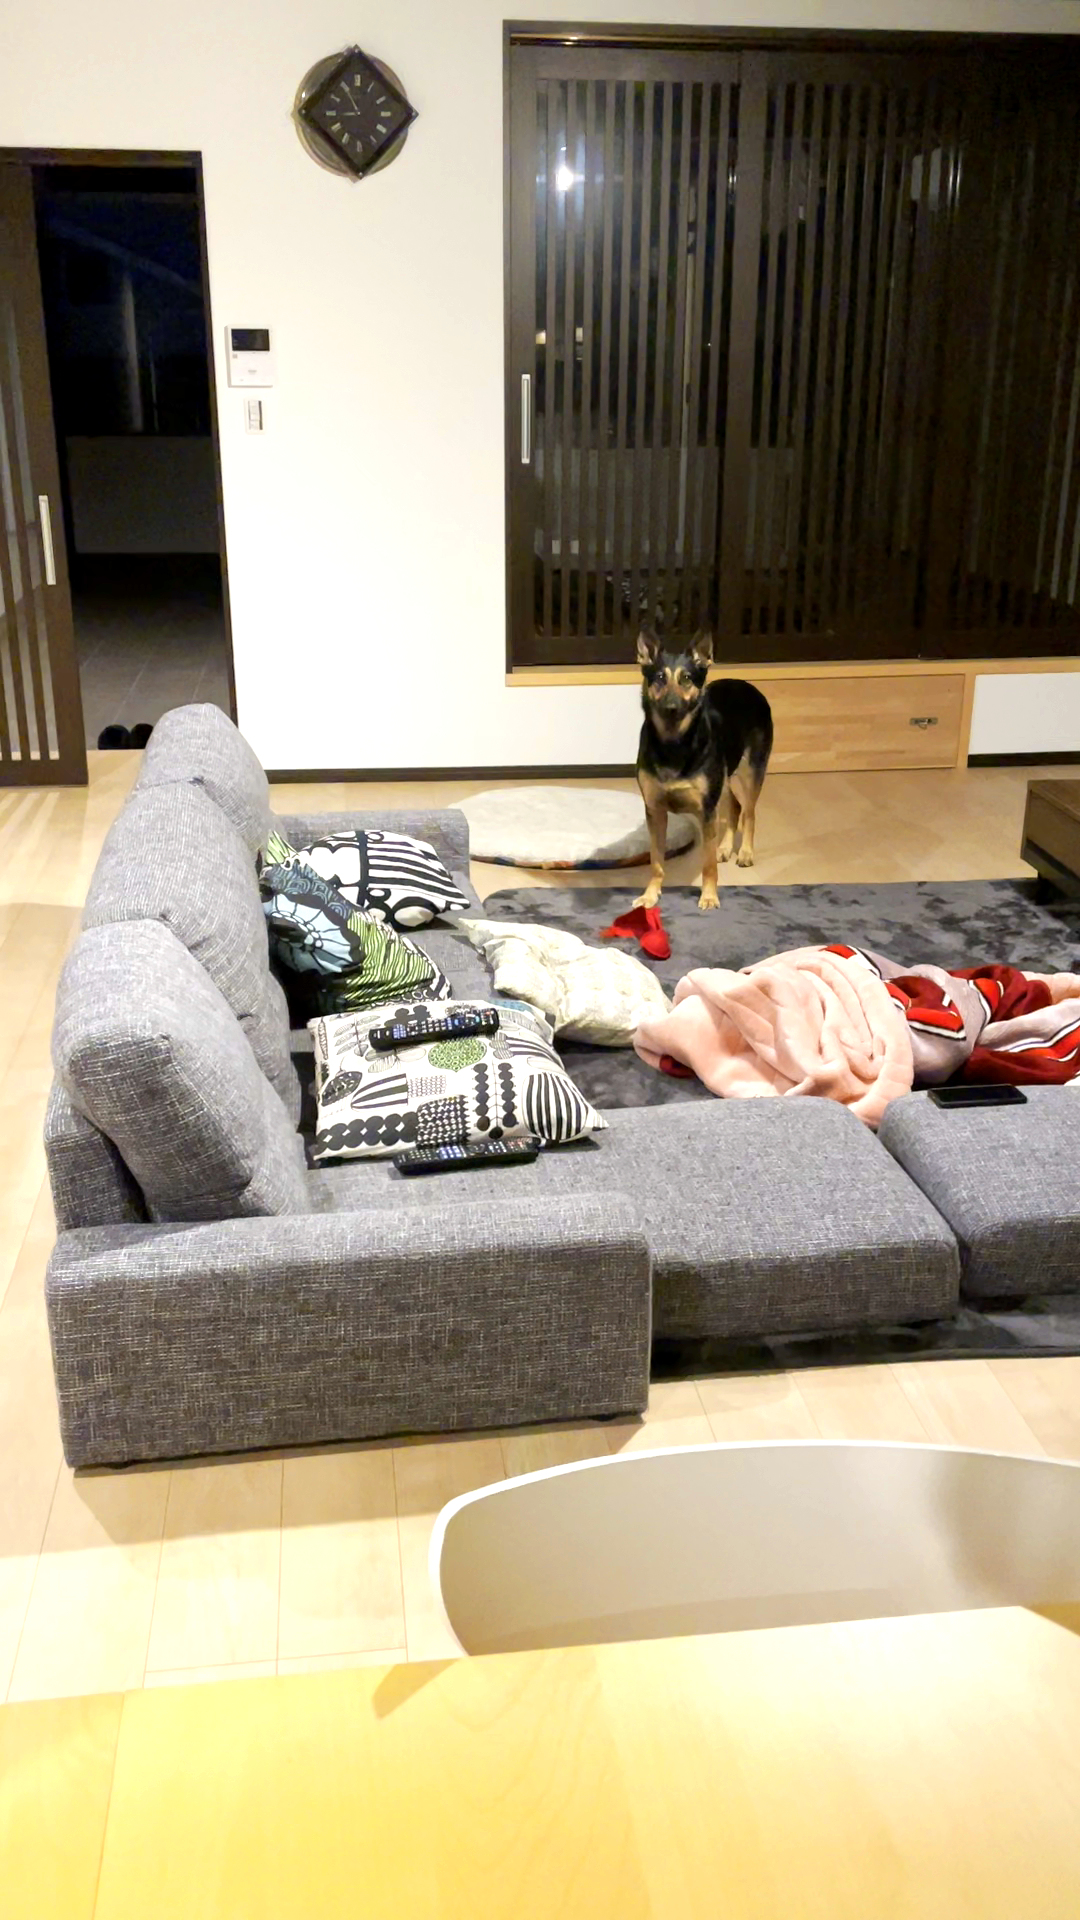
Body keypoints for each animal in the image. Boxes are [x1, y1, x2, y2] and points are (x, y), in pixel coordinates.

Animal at [634, 629, 773, 912]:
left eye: (687, 679)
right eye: (660, 678)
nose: (671, 707)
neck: (673, 743)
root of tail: (747, 685)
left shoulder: (707, 810)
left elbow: (707, 863)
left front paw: (709, 896)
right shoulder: (655, 810)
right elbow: (656, 860)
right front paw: (651, 895)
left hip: (751, 770)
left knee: (749, 812)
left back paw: (745, 853)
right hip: (724, 776)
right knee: (735, 807)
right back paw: (726, 848)